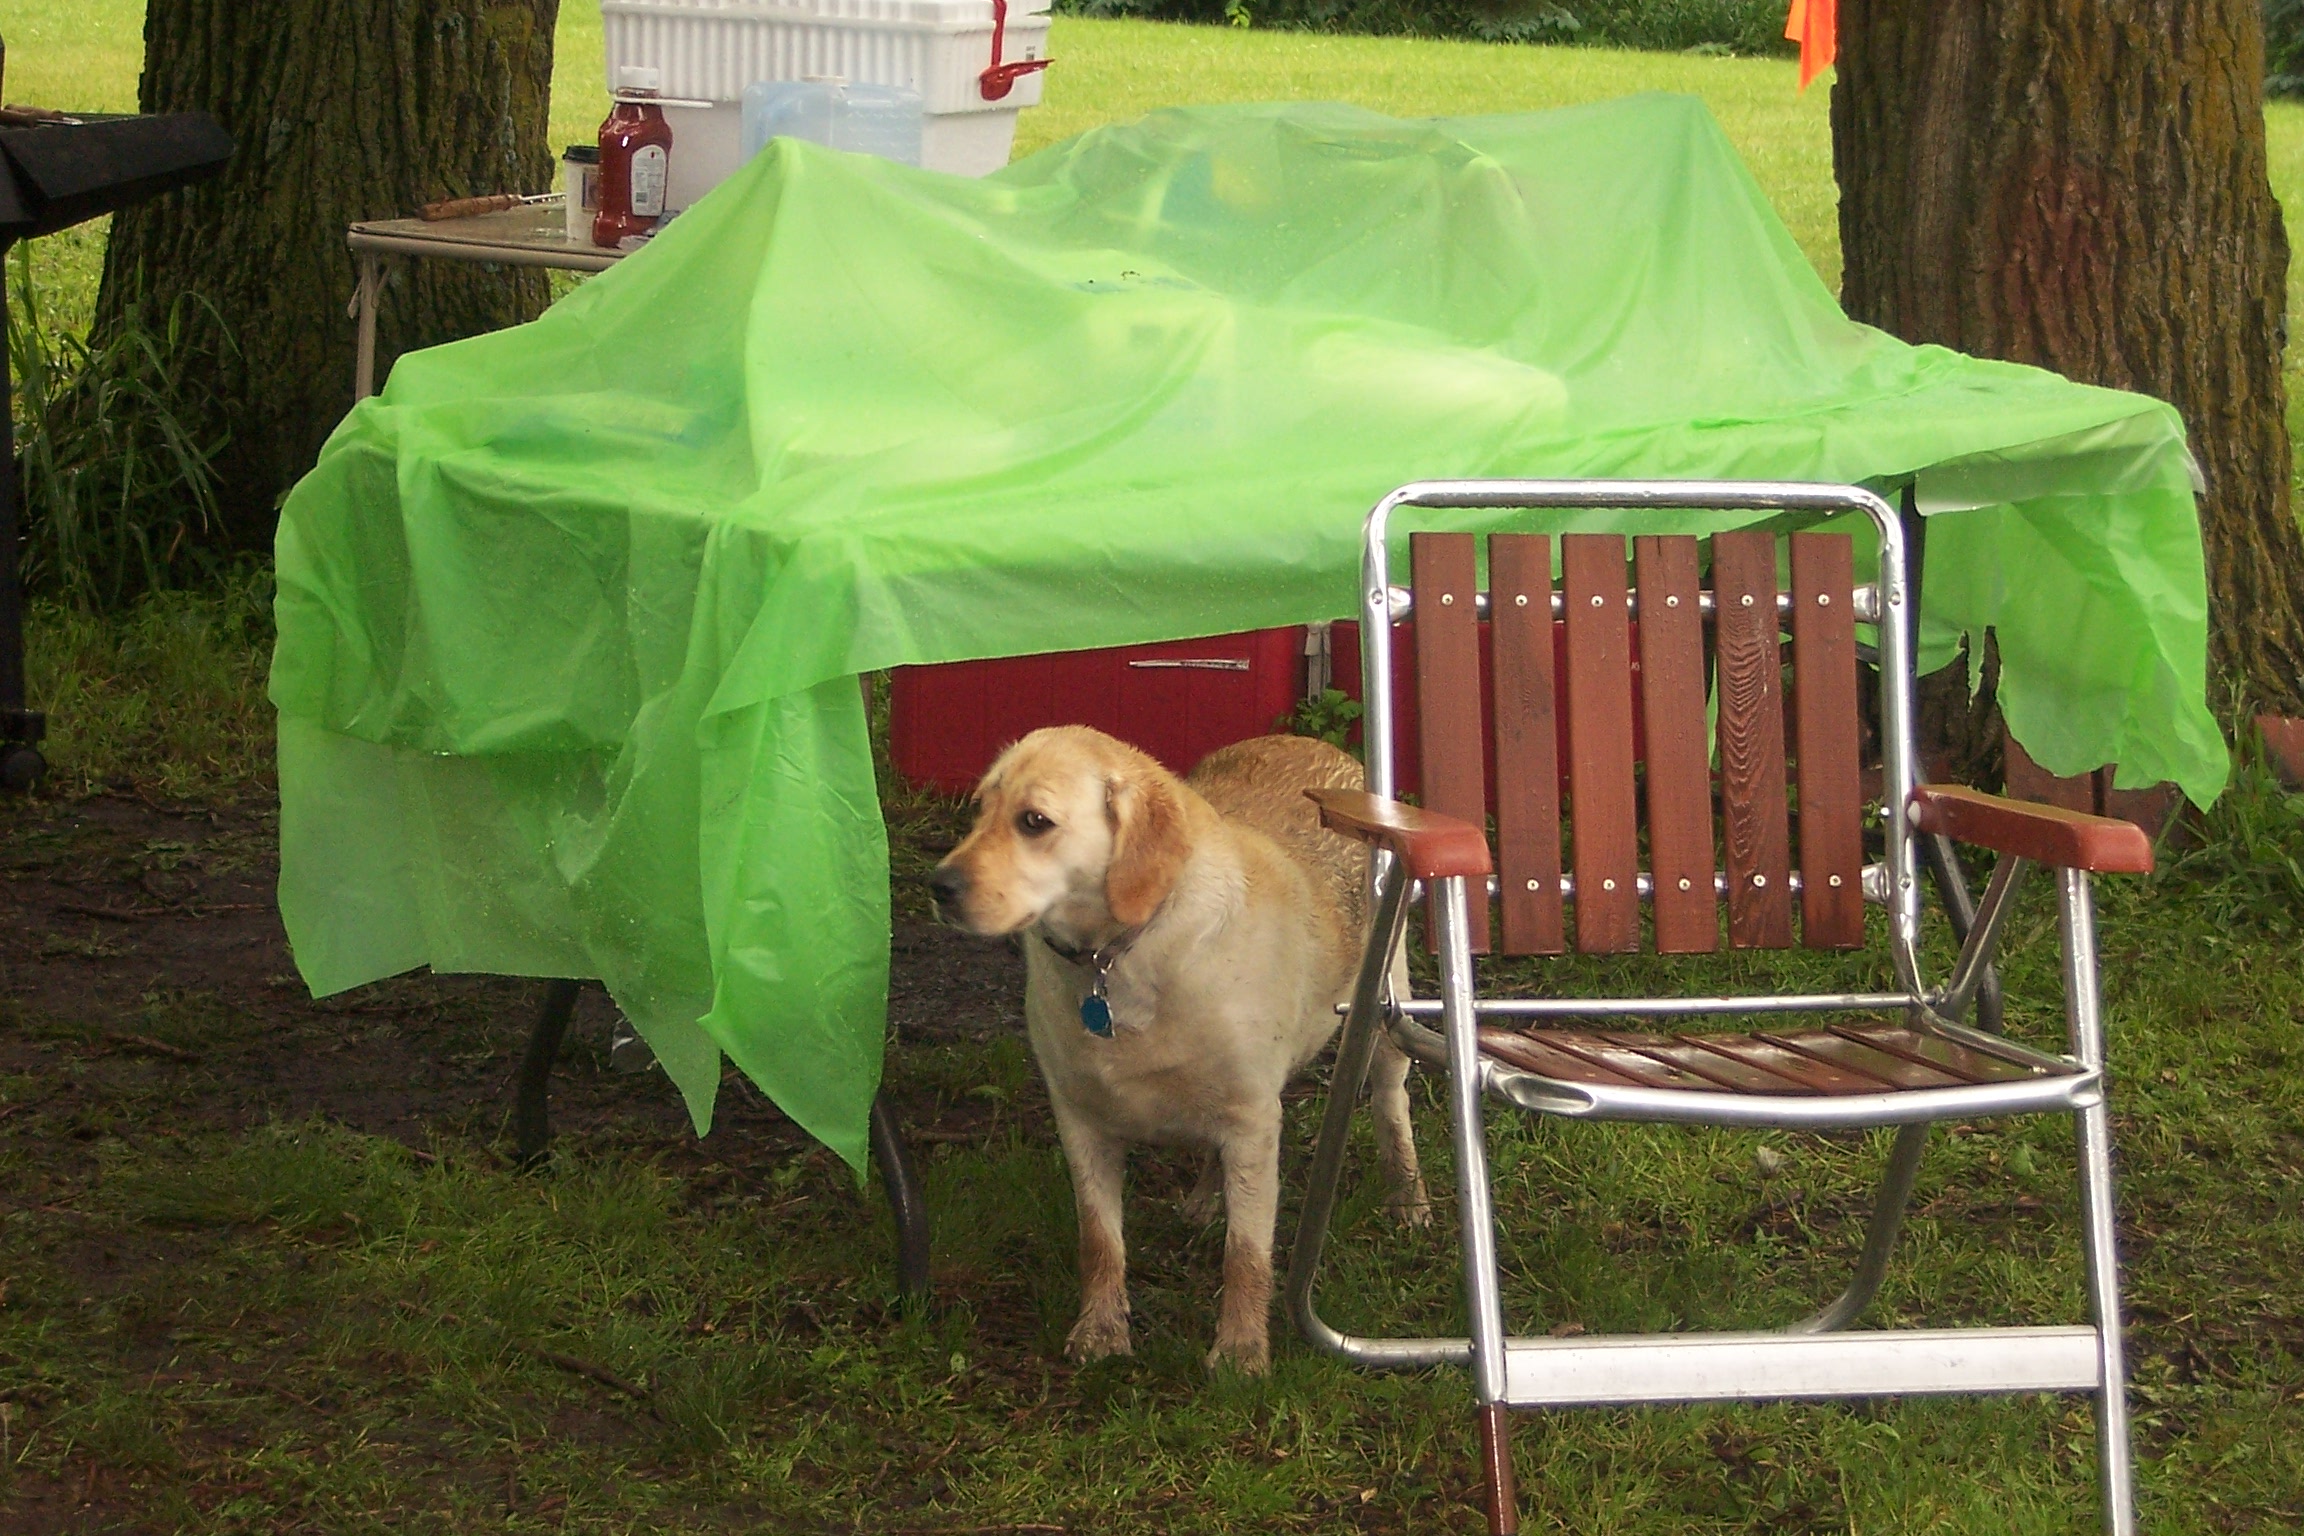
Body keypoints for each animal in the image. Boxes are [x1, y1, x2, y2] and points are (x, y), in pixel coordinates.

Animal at [928, 726, 1428, 1374]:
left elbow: (1246, 1256)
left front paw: (1240, 1351)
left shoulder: (1252, 1120)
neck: (1114, 958)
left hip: (1387, 1013)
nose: (937, 887)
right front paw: (1102, 1328)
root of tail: (1313, 741)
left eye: (1034, 821)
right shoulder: (1080, 1119)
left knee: (1391, 1103)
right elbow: (1099, 1241)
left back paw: (1407, 1195)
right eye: (978, 808)